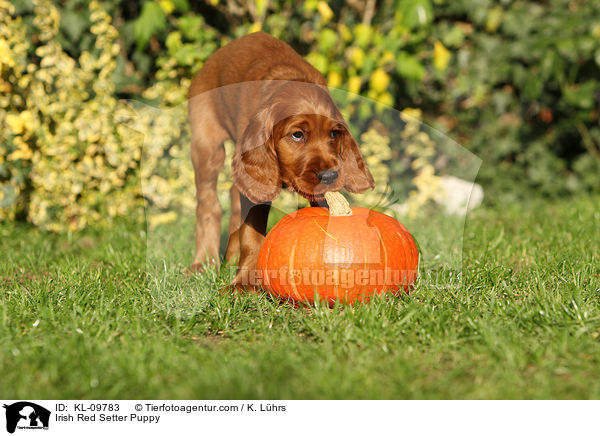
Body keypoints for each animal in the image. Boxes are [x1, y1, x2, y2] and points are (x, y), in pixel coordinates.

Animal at [188, 31, 376, 290]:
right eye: (297, 134)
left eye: (333, 134)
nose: (329, 177)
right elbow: (252, 233)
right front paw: (245, 282)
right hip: (206, 144)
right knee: (208, 203)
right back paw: (204, 261)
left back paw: (231, 258)